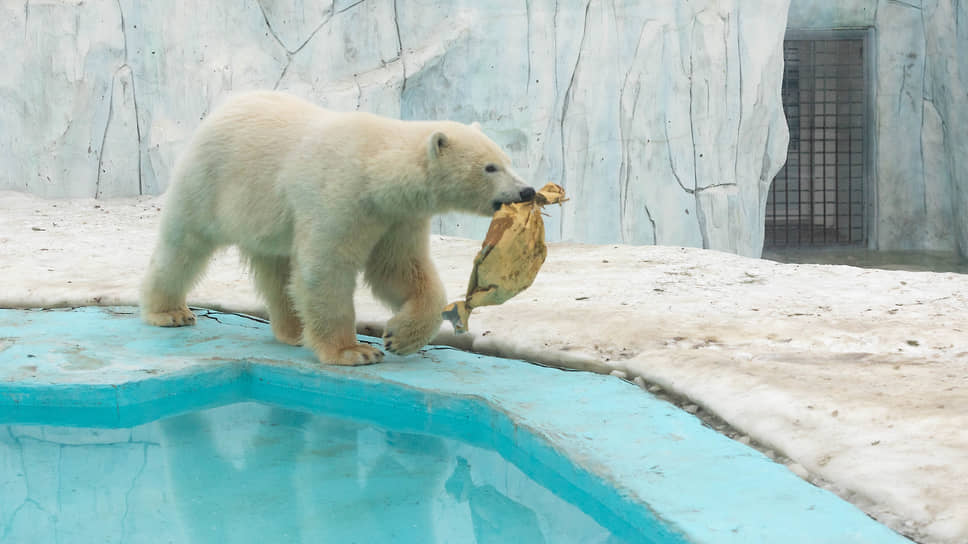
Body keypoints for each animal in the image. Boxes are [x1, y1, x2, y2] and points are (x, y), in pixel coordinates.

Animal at [140, 91, 532, 366]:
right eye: (489, 167)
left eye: (508, 160)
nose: (526, 190)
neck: (376, 170)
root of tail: (220, 110)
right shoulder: (340, 198)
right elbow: (326, 270)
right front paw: (354, 351)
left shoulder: (396, 217)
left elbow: (400, 270)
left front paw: (399, 336)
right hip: (210, 180)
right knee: (184, 245)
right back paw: (169, 311)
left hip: (265, 215)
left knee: (276, 269)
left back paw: (294, 330)